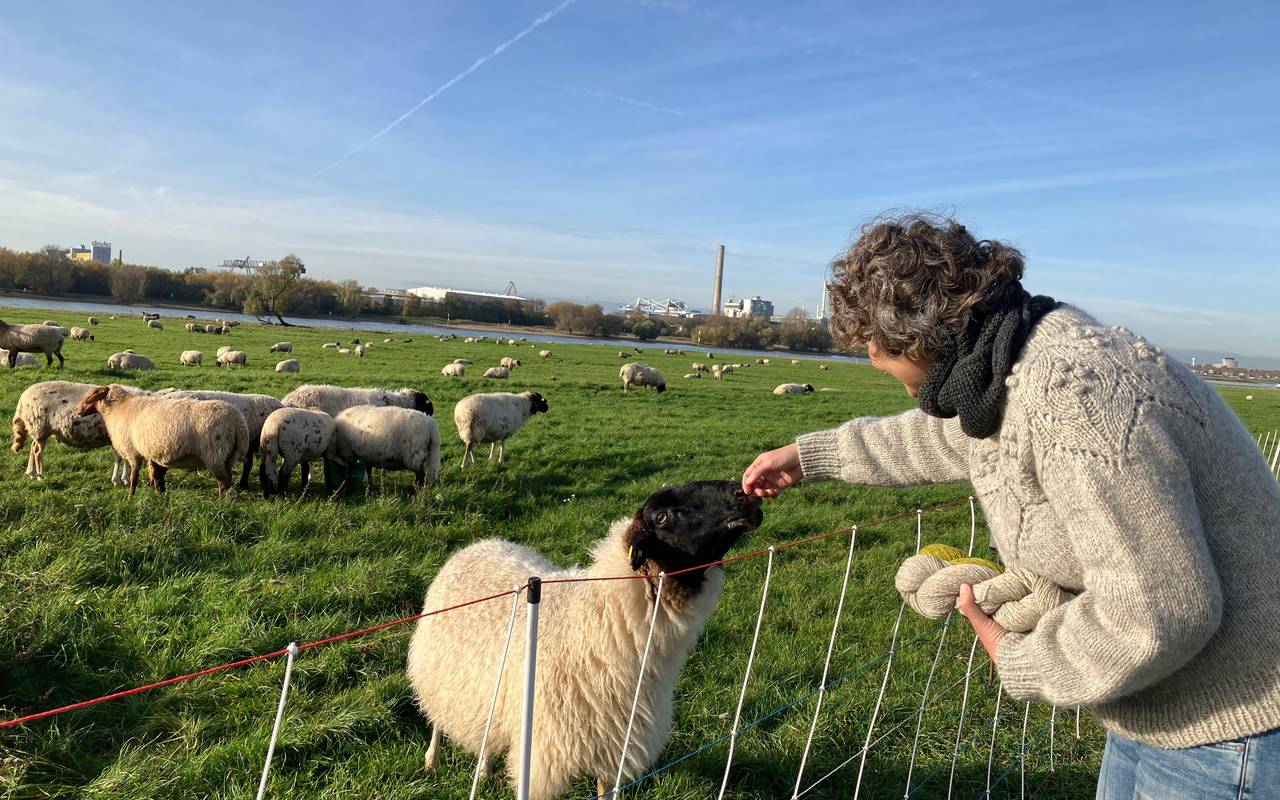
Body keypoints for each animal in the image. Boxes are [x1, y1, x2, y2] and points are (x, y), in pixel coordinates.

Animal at [11, 380, 140, 483]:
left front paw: (124, 478)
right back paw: (40, 476)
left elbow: (123, 457)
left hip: (37, 428)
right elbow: (121, 458)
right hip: (40, 426)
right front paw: (119, 480)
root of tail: (23, 398)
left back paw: (31, 473)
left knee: (33, 448)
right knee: (37, 451)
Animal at [74, 385, 248, 496]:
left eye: (93, 394)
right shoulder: (152, 454)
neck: (119, 409)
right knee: (228, 480)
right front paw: (157, 495)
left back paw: (220, 504)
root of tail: (238, 423)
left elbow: (134, 477)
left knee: (223, 482)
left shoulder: (133, 452)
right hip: (228, 456)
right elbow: (155, 476)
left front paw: (130, 497)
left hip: (214, 454)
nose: (76, 410)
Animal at [406, 480, 764, 800]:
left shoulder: (612, 751)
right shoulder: (541, 760)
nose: (744, 494)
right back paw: (432, 760)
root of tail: (480, 543)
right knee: (439, 717)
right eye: (662, 517)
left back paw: (483, 767)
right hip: (440, 671)